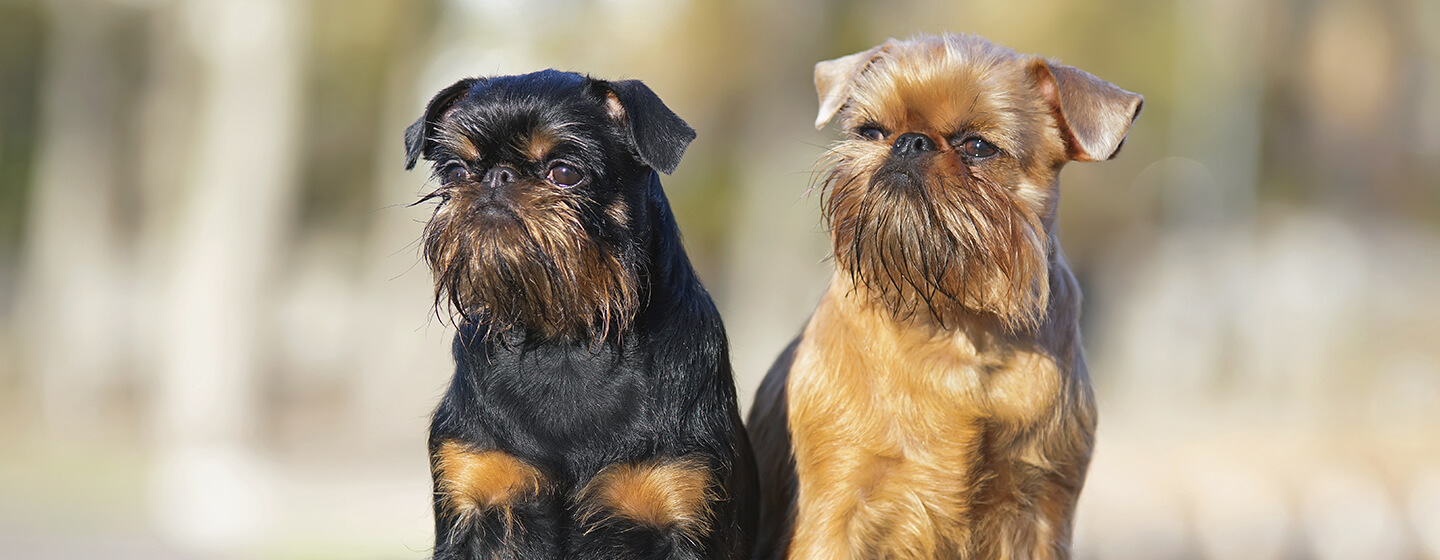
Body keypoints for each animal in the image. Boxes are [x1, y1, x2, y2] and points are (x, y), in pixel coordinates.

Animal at [403, 70, 754, 558]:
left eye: (565, 173)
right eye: (455, 171)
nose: (496, 177)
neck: (564, 343)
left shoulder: (683, 511)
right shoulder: (470, 506)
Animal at [748, 34, 1140, 558]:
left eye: (977, 146)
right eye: (871, 131)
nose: (909, 142)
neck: (955, 322)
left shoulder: (1040, 516)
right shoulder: (835, 517)